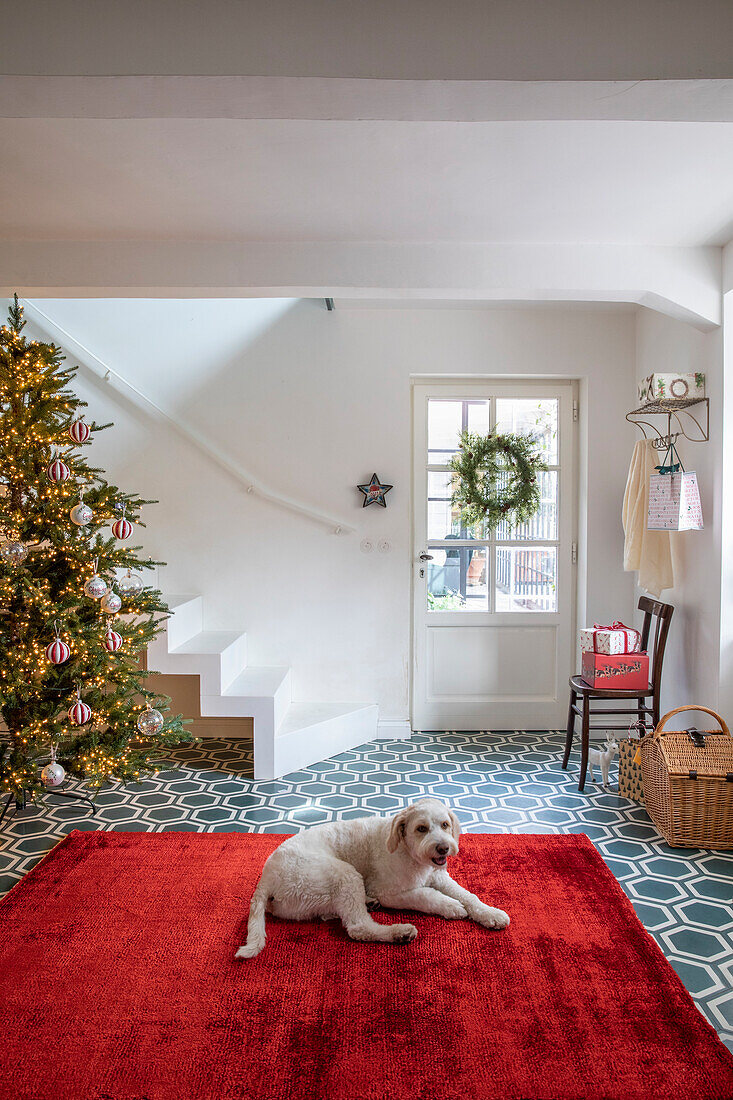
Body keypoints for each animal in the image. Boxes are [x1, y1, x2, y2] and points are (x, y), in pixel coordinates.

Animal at [234, 796, 508, 959]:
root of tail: (266, 879)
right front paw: (450, 906)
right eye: (421, 829)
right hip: (344, 875)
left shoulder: (439, 876)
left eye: (444, 825)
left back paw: (368, 904)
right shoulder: (389, 892)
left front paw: (490, 913)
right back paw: (399, 932)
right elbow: (425, 896)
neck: (408, 852)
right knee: (358, 928)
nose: (443, 848)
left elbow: (469, 895)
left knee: (335, 913)